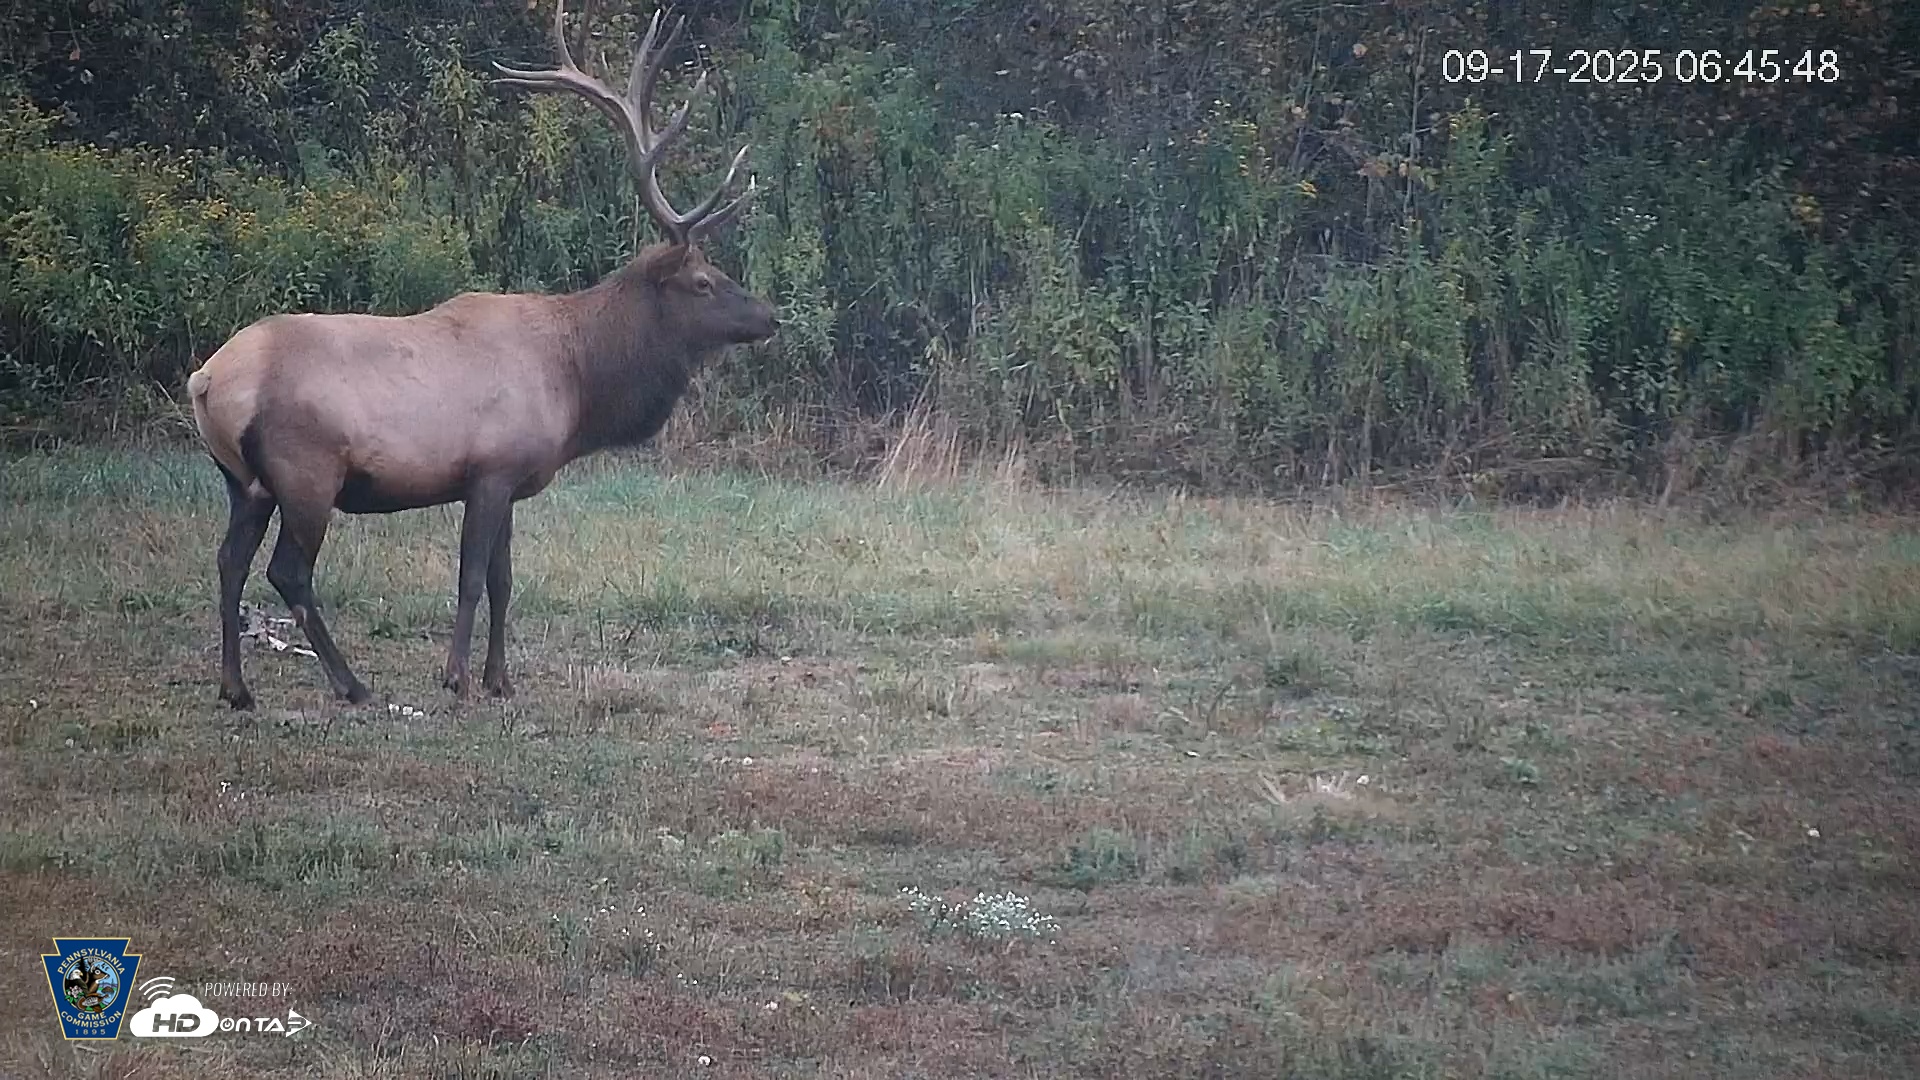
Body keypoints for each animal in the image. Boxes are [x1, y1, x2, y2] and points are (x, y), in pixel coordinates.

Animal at [186, 0, 778, 710]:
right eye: (703, 281)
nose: (770, 317)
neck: (576, 381)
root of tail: (207, 380)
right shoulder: (490, 470)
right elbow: (471, 577)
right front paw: (458, 676)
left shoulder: (513, 479)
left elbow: (503, 579)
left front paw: (501, 679)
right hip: (306, 471)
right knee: (288, 572)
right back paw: (350, 684)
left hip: (243, 481)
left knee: (228, 561)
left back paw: (235, 688)